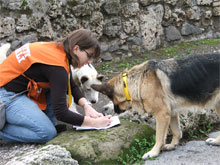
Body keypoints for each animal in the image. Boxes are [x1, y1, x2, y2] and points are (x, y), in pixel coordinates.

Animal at [91, 53, 220, 159]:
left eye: (111, 100)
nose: (104, 111)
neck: (138, 82)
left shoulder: (162, 114)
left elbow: (159, 136)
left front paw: (153, 152)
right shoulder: (171, 112)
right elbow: (176, 131)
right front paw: (173, 145)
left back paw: (216, 141)